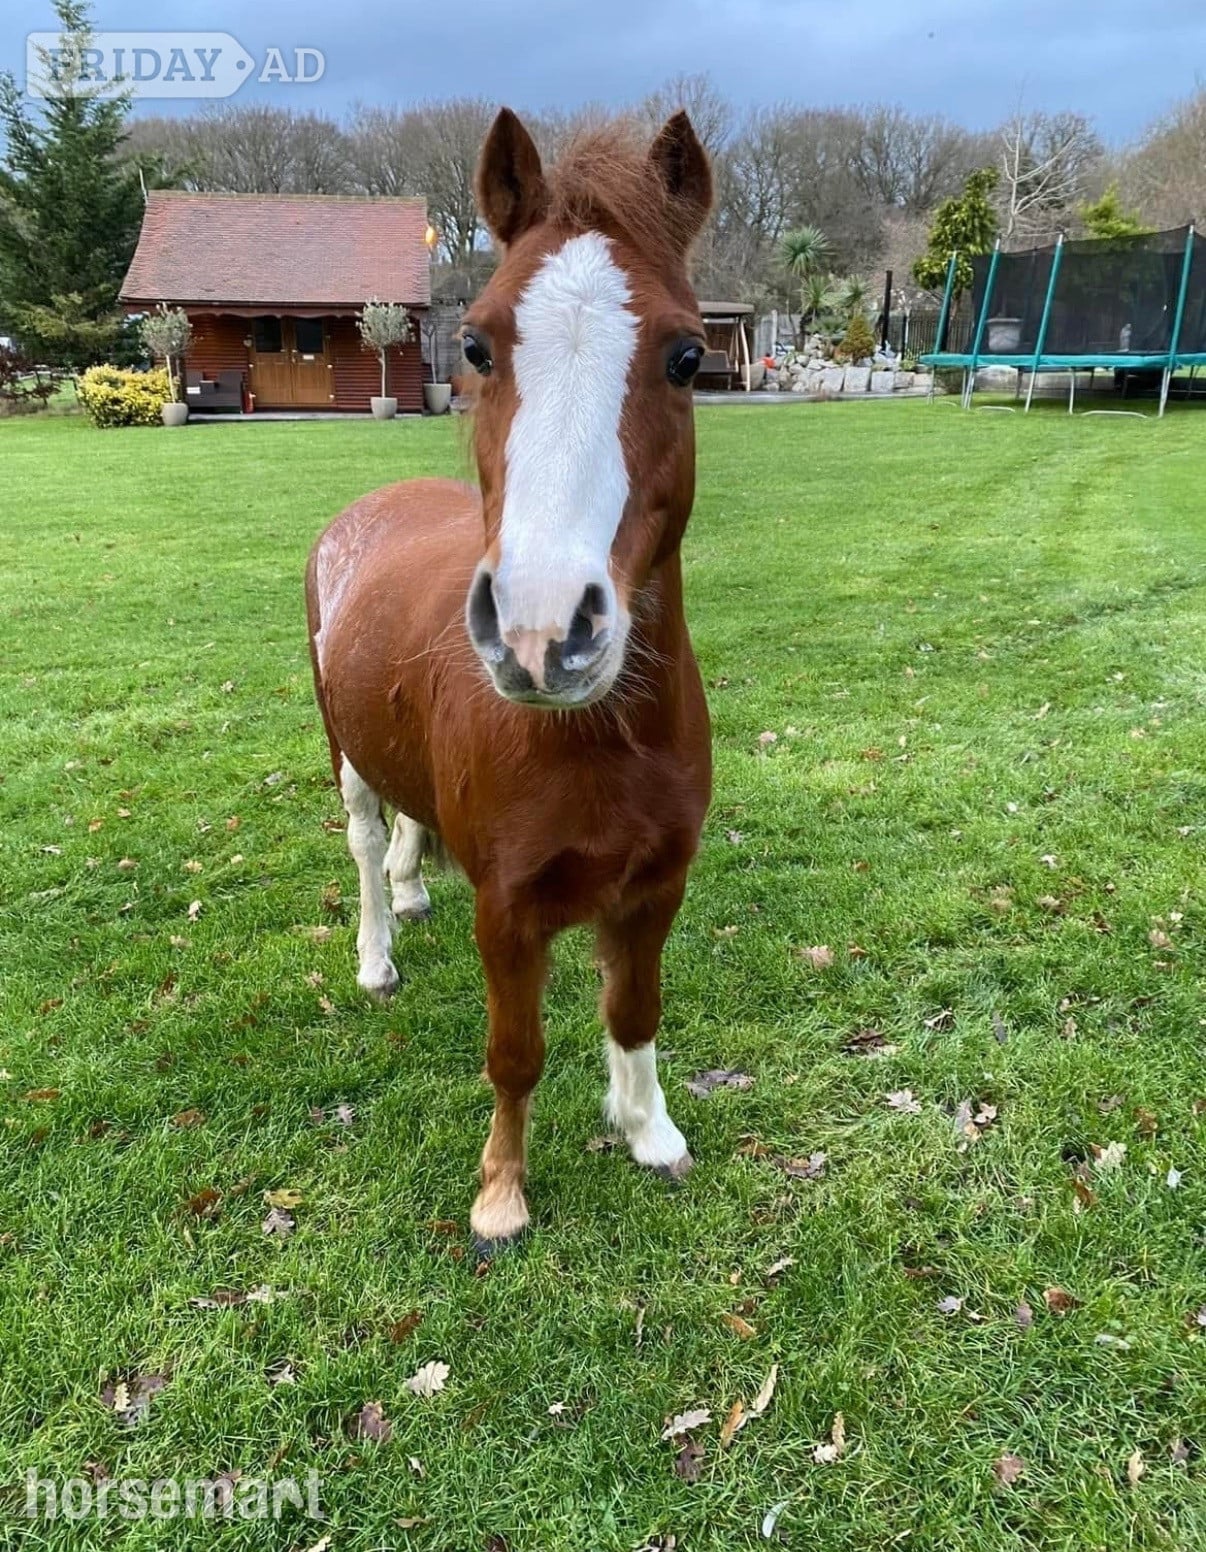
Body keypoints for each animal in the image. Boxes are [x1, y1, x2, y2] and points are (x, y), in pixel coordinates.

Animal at [305, 107, 714, 1251]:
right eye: (480, 344)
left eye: (689, 356)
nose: (542, 632)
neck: (598, 739)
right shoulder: (508, 908)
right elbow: (516, 1053)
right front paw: (501, 1193)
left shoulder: (657, 886)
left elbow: (634, 1012)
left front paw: (648, 1131)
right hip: (342, 750)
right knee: (364, 838)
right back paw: (377, 950)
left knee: (404, 827)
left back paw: (410, 887)